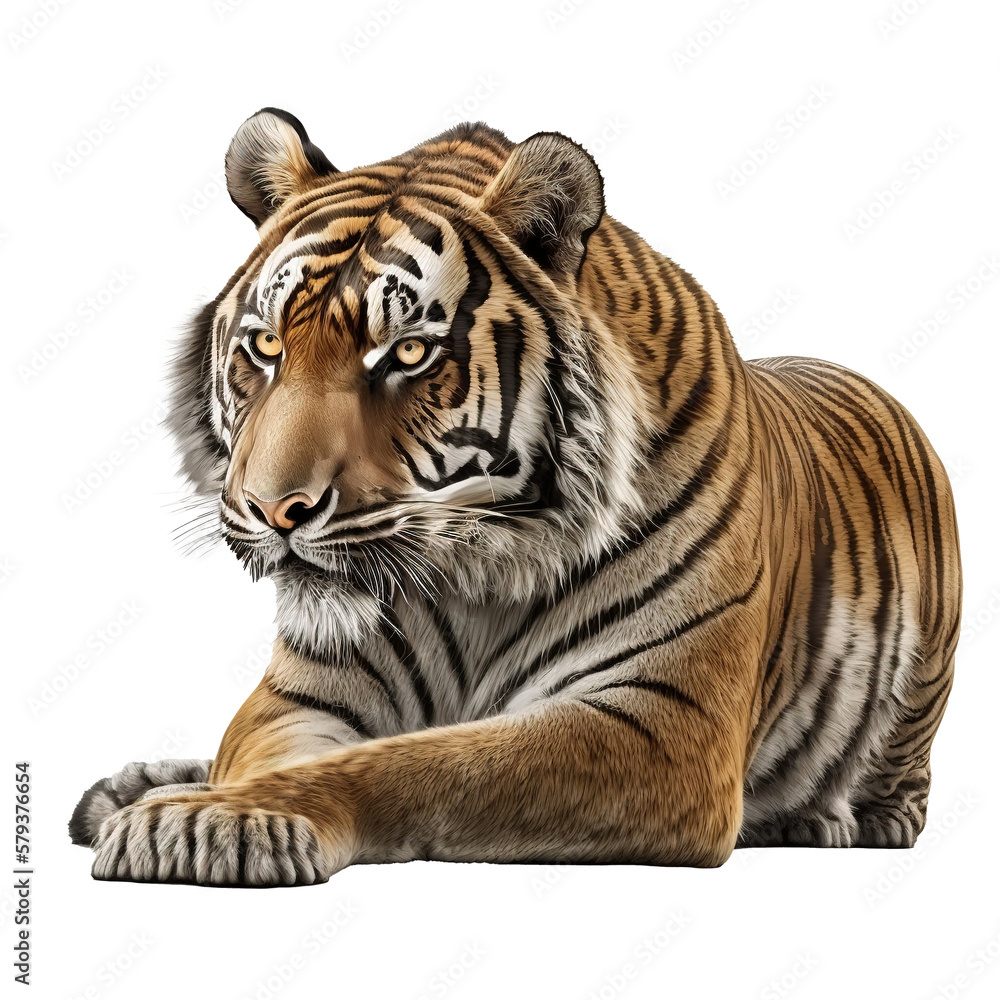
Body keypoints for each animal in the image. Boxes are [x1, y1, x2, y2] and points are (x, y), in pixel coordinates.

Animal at [69, 108, 961, 886]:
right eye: (265, 345)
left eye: (409, 354)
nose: (273, 512)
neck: (474, 583)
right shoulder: (299, 695)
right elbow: (270, 752)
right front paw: (189, 806)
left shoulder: (662, 718)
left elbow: (419, 764)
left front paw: (207, 820)